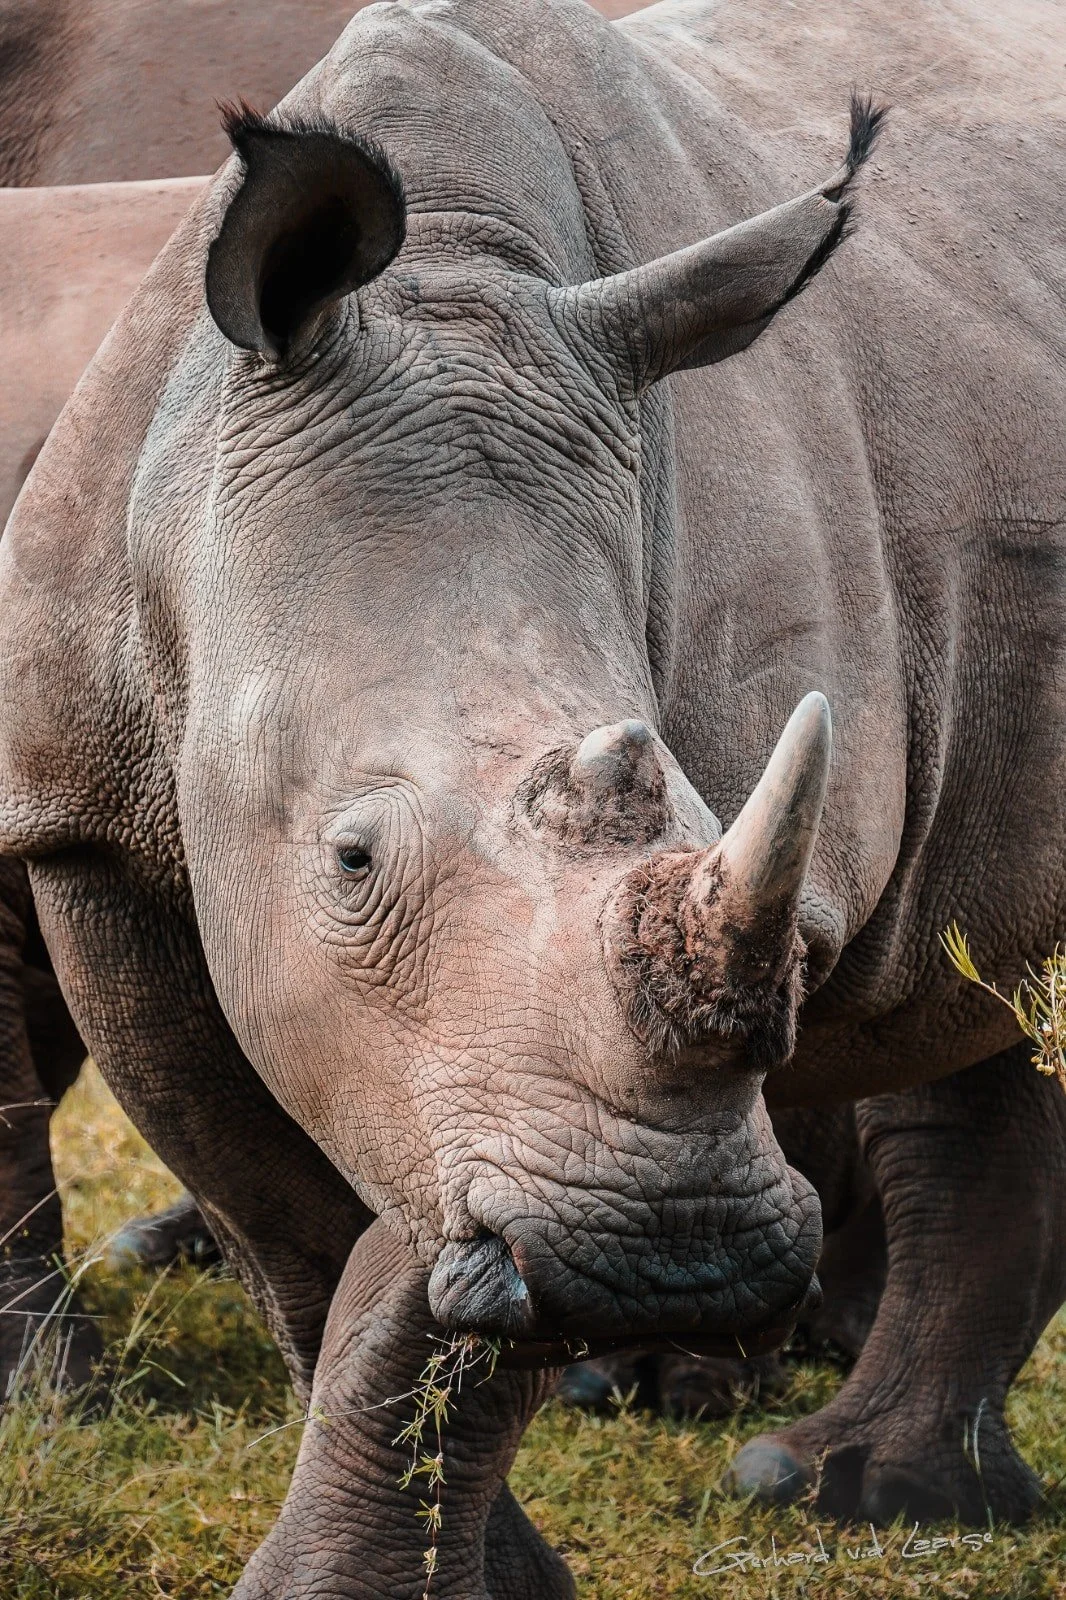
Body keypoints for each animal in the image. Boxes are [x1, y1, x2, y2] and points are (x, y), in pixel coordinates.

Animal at [1, 0, 1064, 1589]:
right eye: (350, 857)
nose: (675, 1260)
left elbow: (430, 1265)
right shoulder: (88, 834)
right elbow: (300, 1234)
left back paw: (835, 1490)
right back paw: (857, 1490)